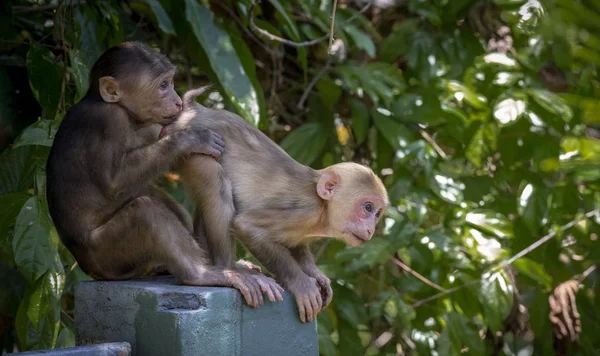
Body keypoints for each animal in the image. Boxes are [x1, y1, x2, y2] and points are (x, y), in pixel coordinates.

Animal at [45, 41, 282, 308]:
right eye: (163, 86)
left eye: (170, 82)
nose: (178, 101)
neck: (124, 112)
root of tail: (90, 270)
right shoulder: (106, 120)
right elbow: (113, 183)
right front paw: (191, 138)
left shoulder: (152, 125)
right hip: (106, 258)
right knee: (146, 212)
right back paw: (202, 274)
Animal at [163, 87, 390, 322]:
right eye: (367, 208)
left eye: (378, 213)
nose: (371, 229)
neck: (322, 210)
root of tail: (194, 110)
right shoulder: (304, 211)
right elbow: (247, 226)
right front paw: (301, 284)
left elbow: (296, 245)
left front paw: (316, 274)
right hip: (193, 147)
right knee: (214, 182)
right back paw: (229, 269)